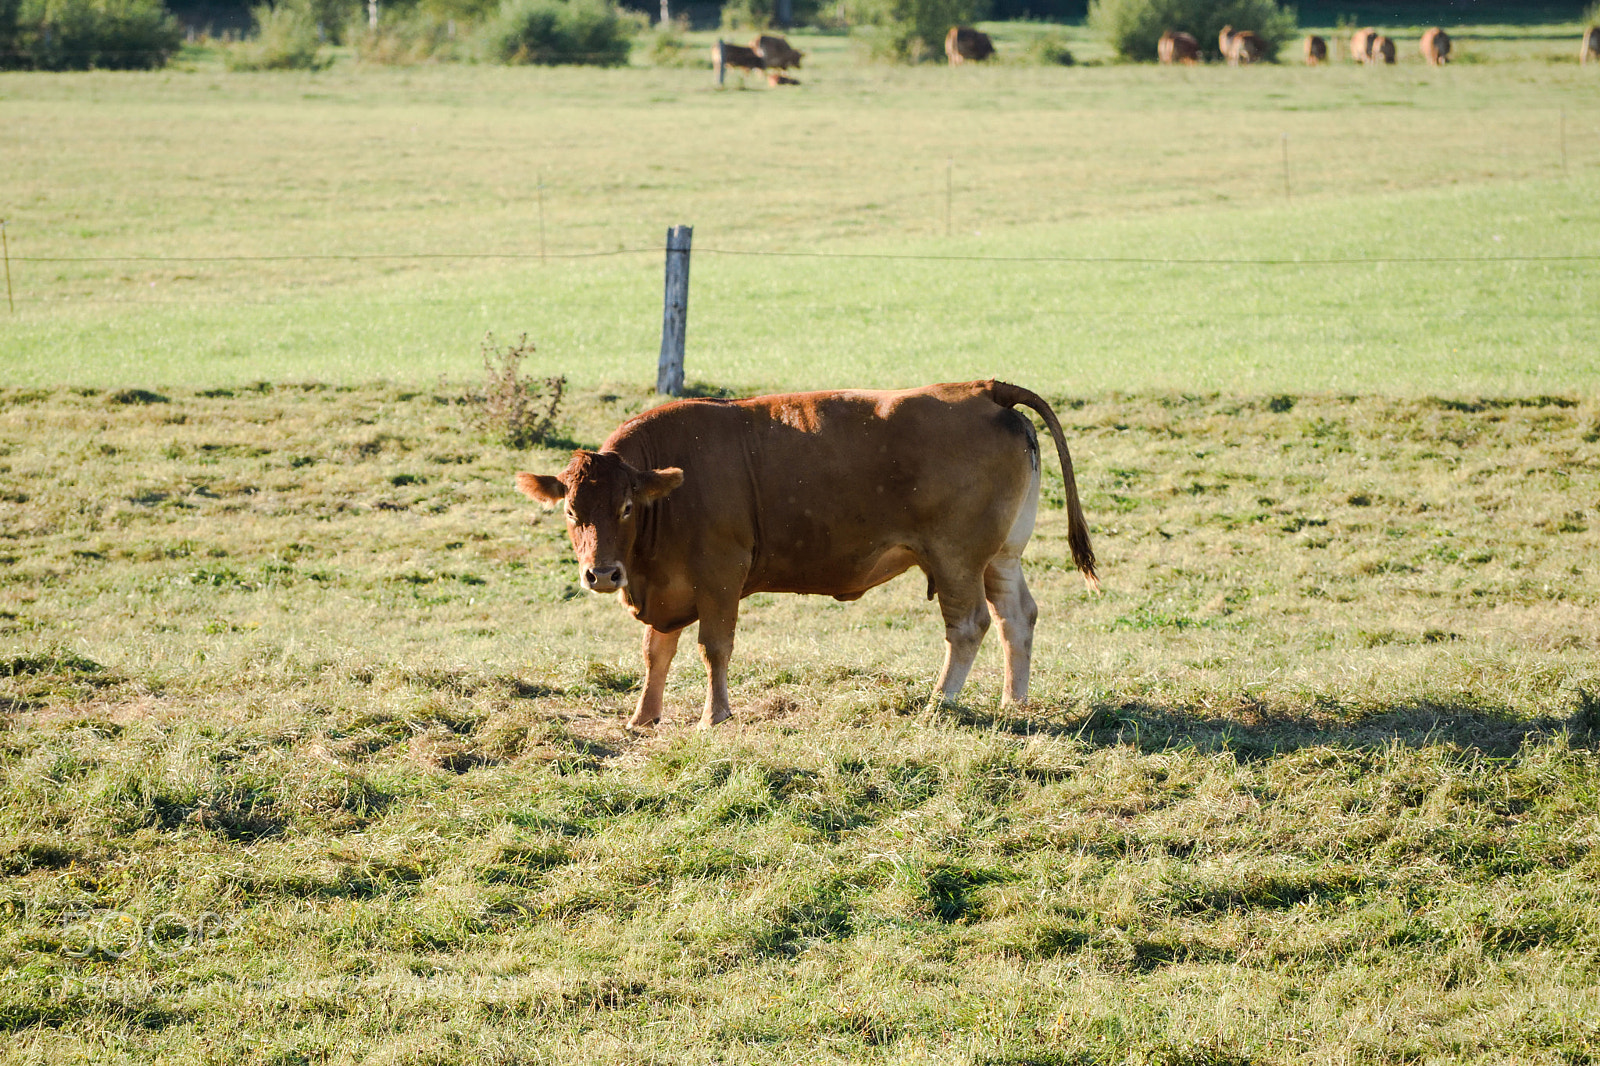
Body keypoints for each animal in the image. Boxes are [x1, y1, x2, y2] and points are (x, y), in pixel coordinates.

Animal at [514, 380, 1099, 729]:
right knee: (1015, 617)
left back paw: (938, 703)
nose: (601, 574)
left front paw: (714, 717)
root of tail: (982, 389)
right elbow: (656, 652)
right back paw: (1013, 702)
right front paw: (644, 716)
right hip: (1001, 556)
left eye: (628, 506)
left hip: (956, 558)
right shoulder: (667, 586)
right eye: (571, 512)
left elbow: (713, 648)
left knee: (969, 624)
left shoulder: (719, 577)